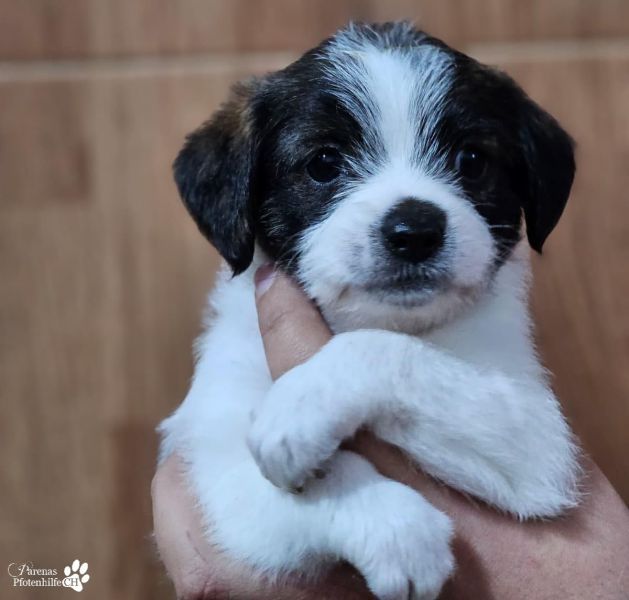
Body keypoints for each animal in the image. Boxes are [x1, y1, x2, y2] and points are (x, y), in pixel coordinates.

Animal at [159, 22, 581, 599]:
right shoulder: (218, 472)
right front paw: (396, 526)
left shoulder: (537, 441)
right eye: (323, 163)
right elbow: (299, 483)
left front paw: (302, 404)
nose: (415, 231)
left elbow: (383, 352)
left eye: (472, 161)